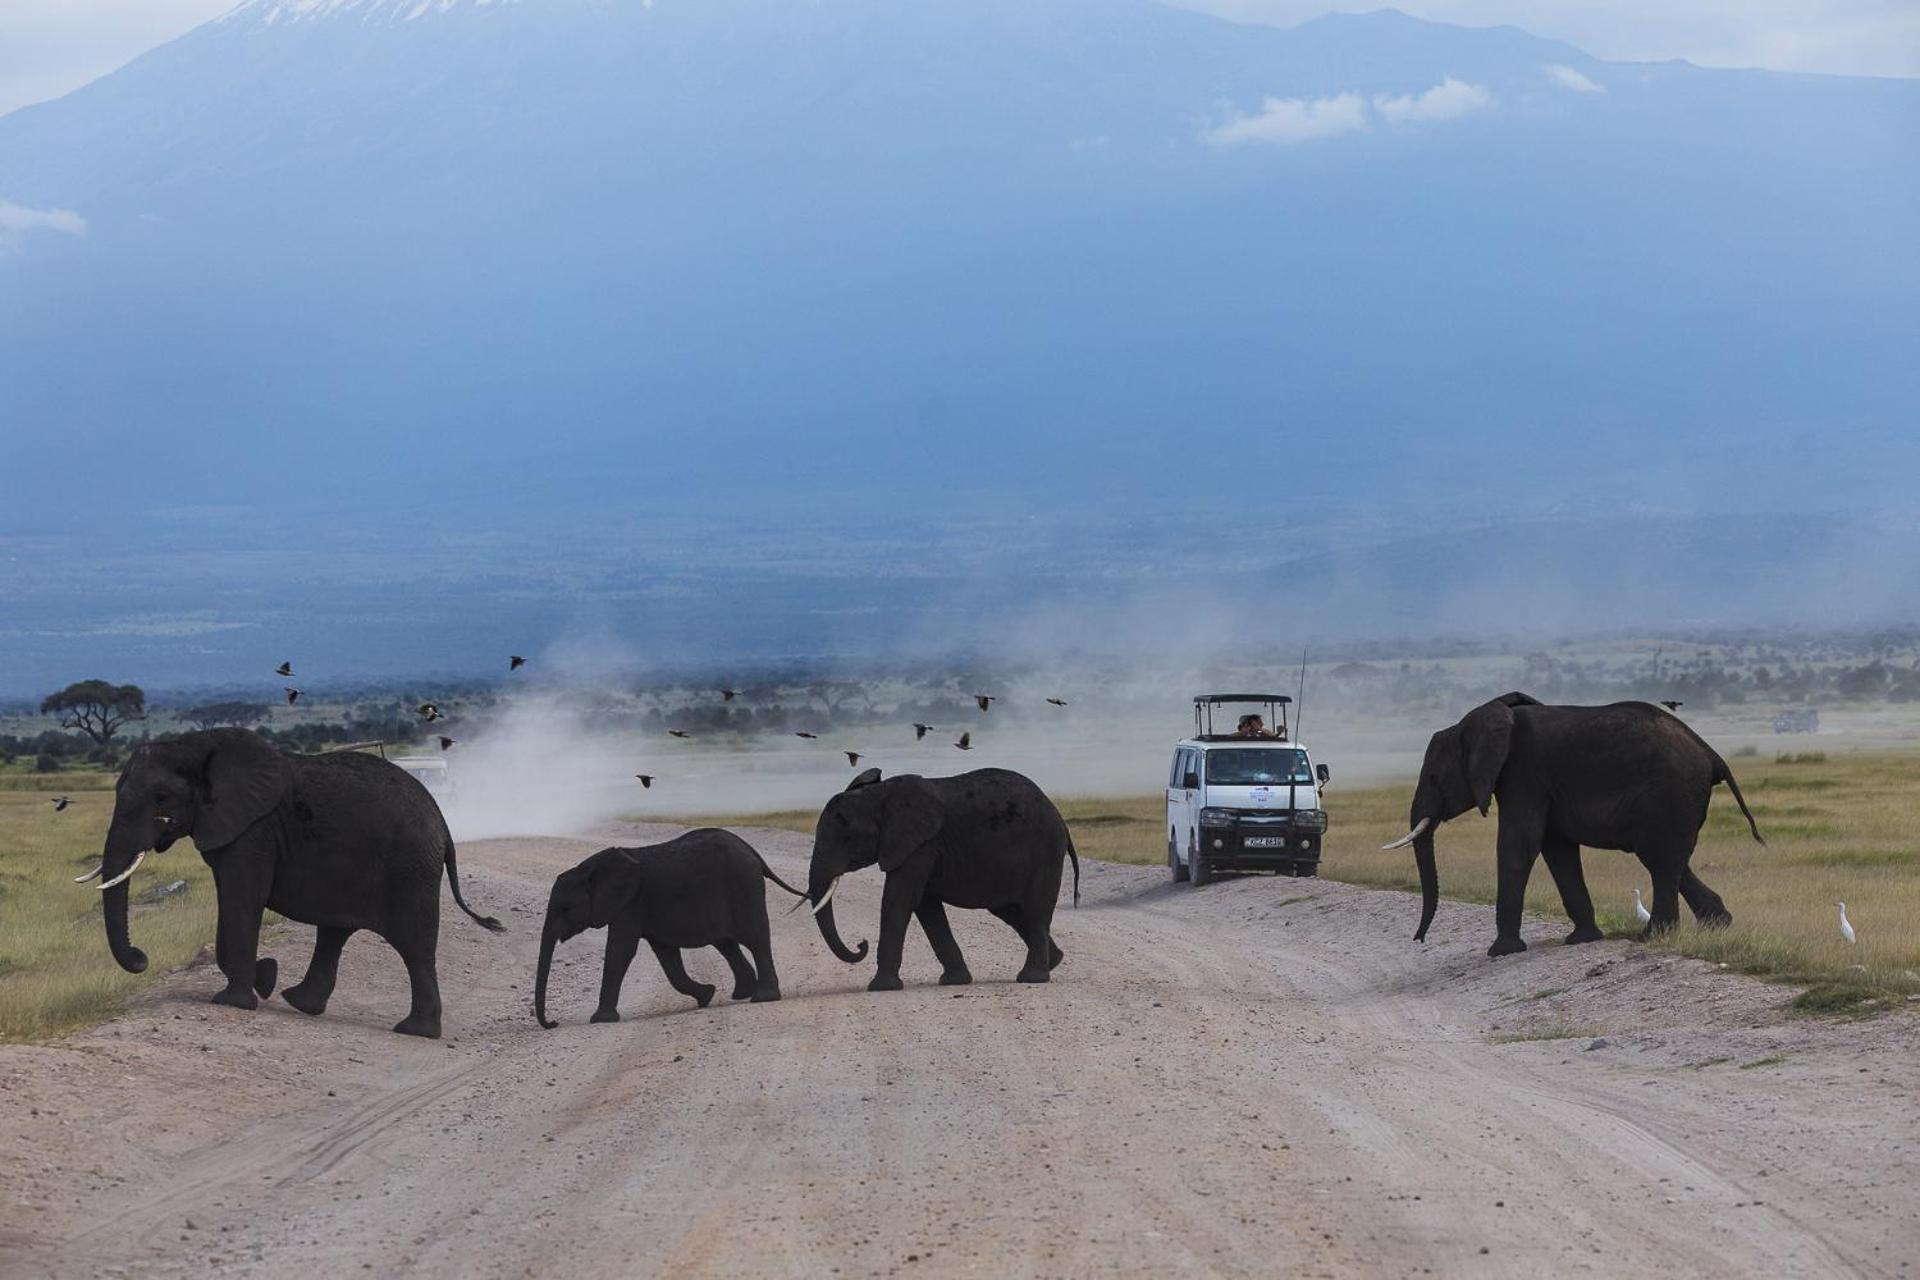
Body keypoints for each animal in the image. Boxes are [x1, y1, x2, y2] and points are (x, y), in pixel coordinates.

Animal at [84, 725, 503, 1036]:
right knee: (334, 932)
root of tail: (444, 827)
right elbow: (234, 902)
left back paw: (414, 1030)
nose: (141, 958)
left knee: (414, 947)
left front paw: (233, 1001)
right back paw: (299, 1001)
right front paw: (264, 977)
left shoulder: (254, 831)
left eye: (161, 797)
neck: (195, 744)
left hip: (411, 871)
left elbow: (241, 901)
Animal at [533, 832, 802, 1028]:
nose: (553, 1023)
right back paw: (741, 993)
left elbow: (621, 951)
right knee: (726, 943)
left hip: (743, 885)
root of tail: (753, 852)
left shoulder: (630, 903)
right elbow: (667, 957)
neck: (588, 869)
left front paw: (600, 1020)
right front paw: (707, 995)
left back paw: (763, 997)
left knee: (754, 938)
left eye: (565, 908)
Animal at [806, 771, 1082, 990]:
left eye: (848, 838)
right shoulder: (921, 847)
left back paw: (1032, 978)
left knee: (1035, 911)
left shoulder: (921, 845)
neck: (879, 794)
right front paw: (954, 981)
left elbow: (900, 901)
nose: (861, 944)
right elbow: (926, 907)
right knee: (1009, 911)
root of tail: (1059, 816)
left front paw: (881, 987)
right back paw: (1055, 960)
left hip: (1045, 851)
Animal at [1382, 694, 1766, 955]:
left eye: (1434, 777)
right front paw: (1582, 940)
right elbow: (1557, 849)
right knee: (1670, 861)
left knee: (1659, 860)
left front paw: (1501, 951)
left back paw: (1652, 937)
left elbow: (1519, 845)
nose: (1419, 939)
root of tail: (1713, 755)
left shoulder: (1524, 773)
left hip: (1670, 792)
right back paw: (1716, 925)